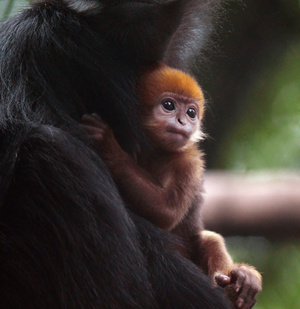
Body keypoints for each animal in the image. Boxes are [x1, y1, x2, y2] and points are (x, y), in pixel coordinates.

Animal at [81, 63, 262, 306]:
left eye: (191, 112)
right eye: (169, 105)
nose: (183, 122)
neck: (157, 154)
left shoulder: (189, 163)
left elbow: (168, 212)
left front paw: (110, 147)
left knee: (210, 240)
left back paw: (239, 284)